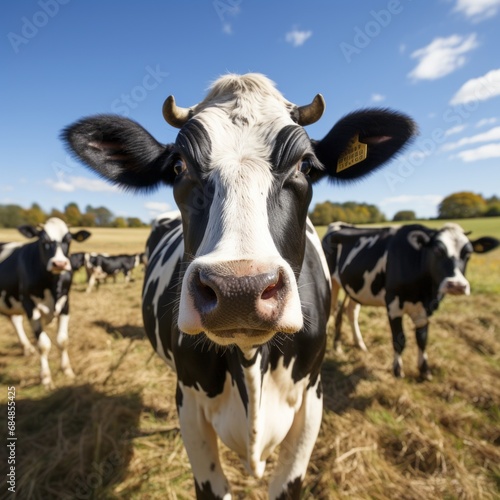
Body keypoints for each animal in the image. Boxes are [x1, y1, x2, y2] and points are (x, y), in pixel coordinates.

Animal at [0, 218, 91, 386]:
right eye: (43, 240)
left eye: (68, 239)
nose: (59, 264)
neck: (51, 284)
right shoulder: (29, 305)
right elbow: (43, 344)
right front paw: (46, 377)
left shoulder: (65, 303)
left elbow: (62, 341)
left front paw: (67, 370)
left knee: (15, 320)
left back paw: (27, 348)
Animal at [61, 72, 414, 498]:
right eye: (178, 166)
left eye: (306, 165)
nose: (239, 290)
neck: (249, 363)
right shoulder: (190, 404)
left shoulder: (312, 400)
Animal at [322, 222, 498, 378]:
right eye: (437, 250)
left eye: (468, 253)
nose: (456, 285)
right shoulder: (393, 305)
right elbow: (399, 339)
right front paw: (398, 370)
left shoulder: (426, 309)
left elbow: (422, 339)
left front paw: (425, 370)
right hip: (333, 283)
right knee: (334, 311)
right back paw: (336, 345)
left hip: (357, 289)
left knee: (351, 312)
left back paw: (360, 344)